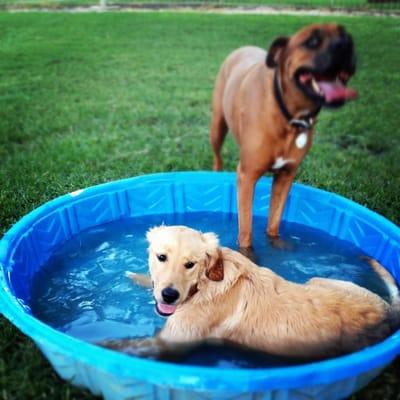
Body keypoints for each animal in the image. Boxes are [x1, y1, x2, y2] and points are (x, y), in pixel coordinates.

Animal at [102, 225, 396, 360]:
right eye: (161, 257)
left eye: (190, 264)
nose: (169, 295)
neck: (204, 286)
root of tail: (388, 312)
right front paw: (139, 278)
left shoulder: (168, 342)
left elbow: (117, 346)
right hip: (320, 279)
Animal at [211, 23, 358, 248]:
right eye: (312, 41)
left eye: (346, 35)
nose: (346, 44)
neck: (291, 118)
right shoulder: (247, 177)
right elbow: (246, 232)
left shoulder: (285, 176)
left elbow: (274, 223)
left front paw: (276, 244)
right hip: (217, 126)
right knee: (217, 157)